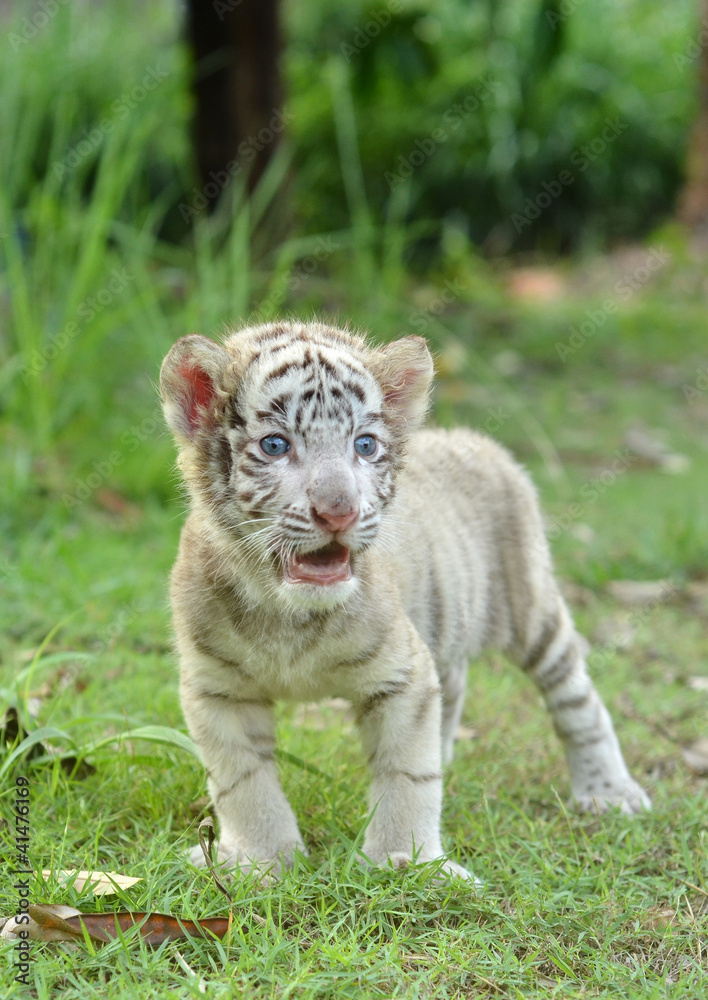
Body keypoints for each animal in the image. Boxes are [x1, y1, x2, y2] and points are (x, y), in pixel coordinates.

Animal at [159, 320, 650, 882]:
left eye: (365, 445)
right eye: (275, 445)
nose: (339, 511)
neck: (286, 613)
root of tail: (477, 440)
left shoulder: (403, 675)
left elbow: (408, 775)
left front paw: (404, 860)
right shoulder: (217, 689)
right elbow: (243, 782)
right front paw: (260, 861)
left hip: (532, 613)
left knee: (577, 698)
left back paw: (610, 792)